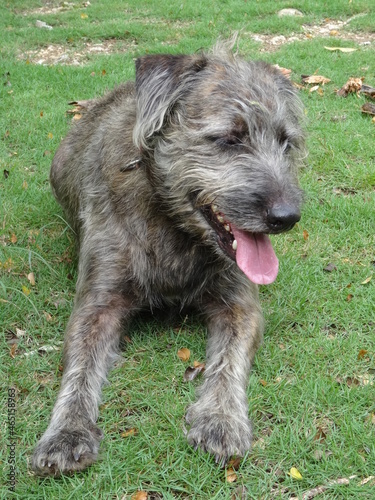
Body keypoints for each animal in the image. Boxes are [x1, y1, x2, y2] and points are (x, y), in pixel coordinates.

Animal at [31, 44, 306, 476]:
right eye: (230, 139)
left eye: (285, 142)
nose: (287, 217)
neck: (174, 225)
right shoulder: (96, 306)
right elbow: (79, 367)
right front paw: (67, 432)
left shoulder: (240, 306)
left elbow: (228, 360)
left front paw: (221, 418)